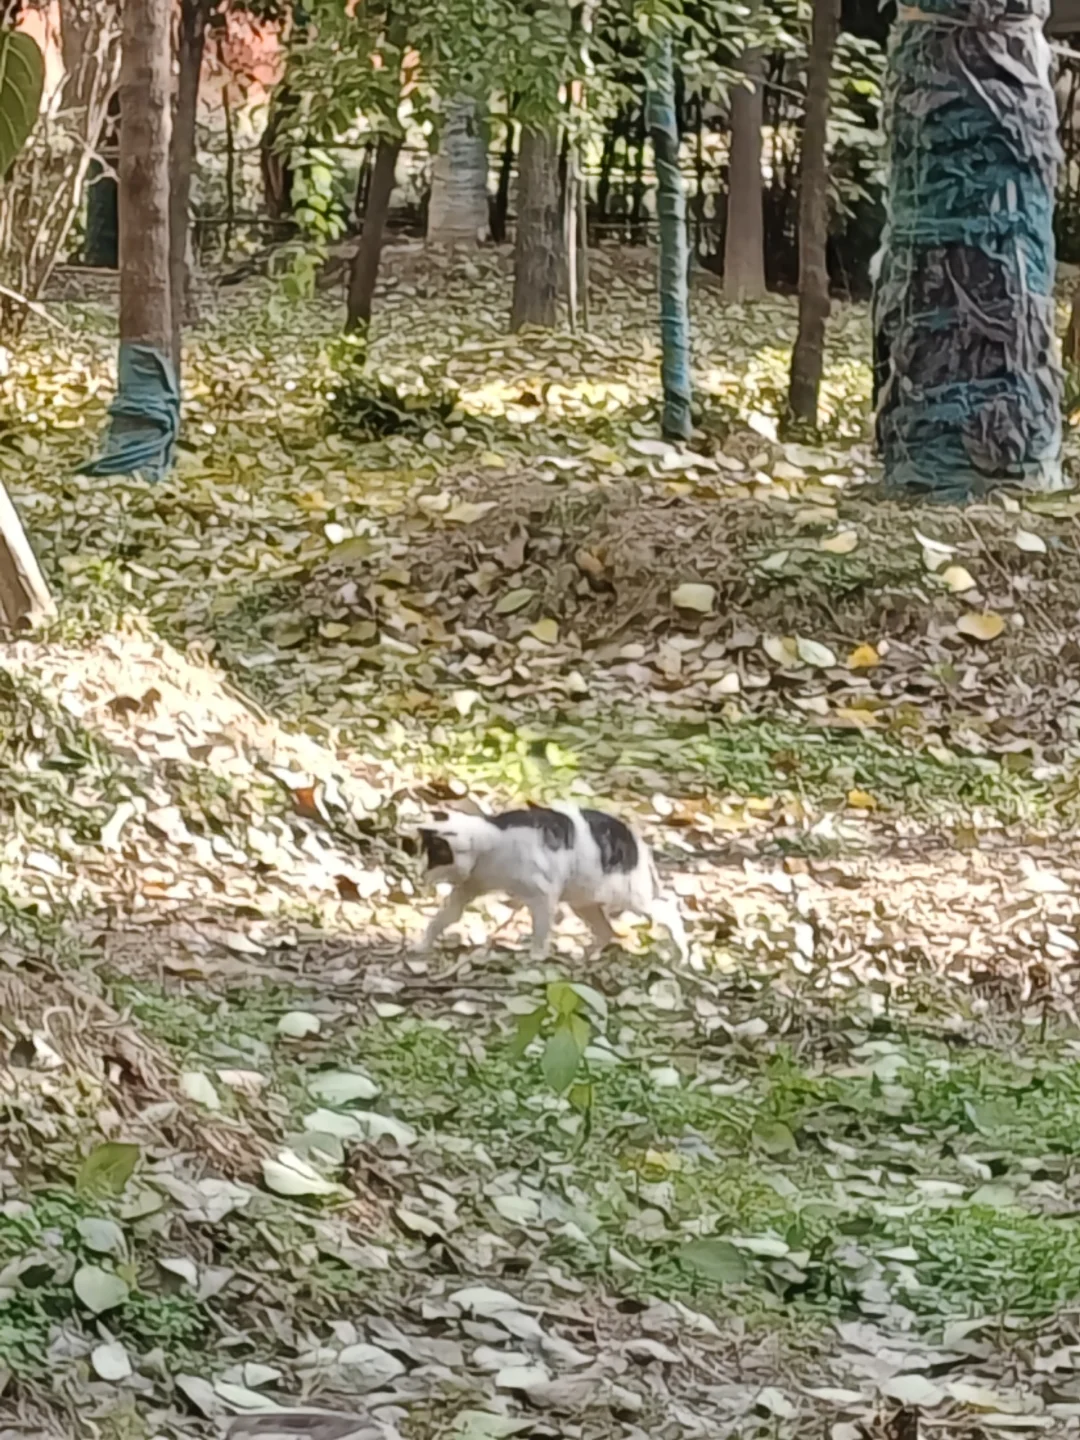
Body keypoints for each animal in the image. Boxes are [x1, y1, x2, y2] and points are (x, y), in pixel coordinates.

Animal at [417, 806, 688, 961]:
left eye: (433, 860)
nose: (420, 875)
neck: (491, 845)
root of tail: (636, 840)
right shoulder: (468, 888)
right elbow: (442, 919)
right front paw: (421, 945)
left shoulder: (543, 896)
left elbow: (541, 930)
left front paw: (536, 957)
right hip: (584, 901)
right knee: (606, 931)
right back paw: (585, 958)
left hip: (631, 896)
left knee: (669, 907)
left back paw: (681, 954)